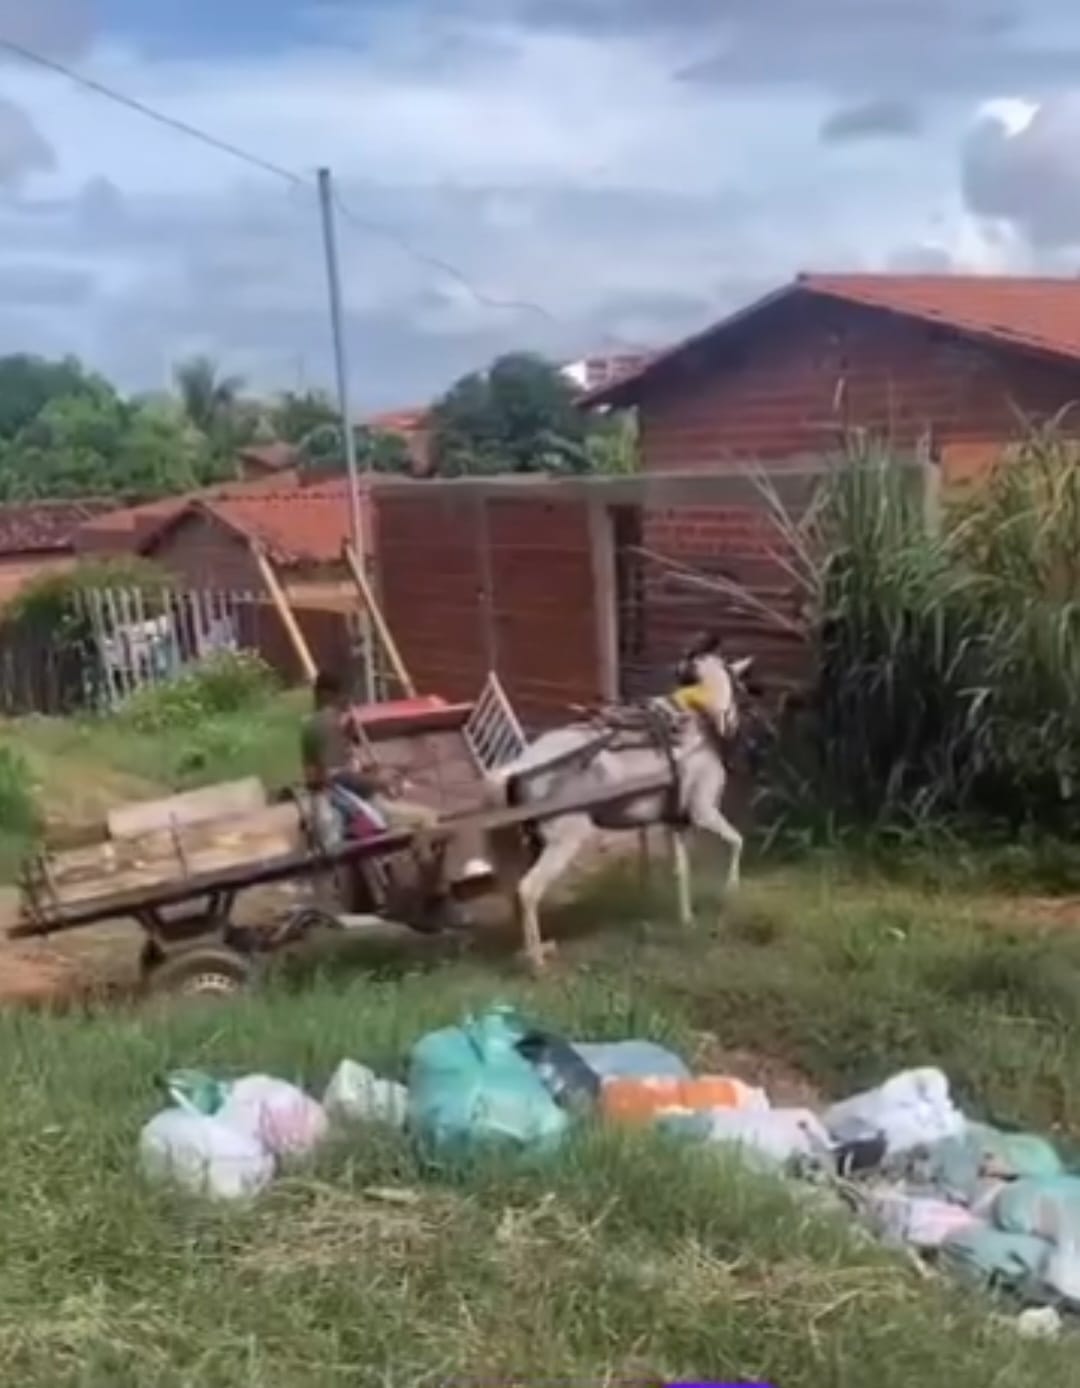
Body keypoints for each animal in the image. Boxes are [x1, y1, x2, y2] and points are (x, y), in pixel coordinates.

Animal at [485, 635, 749, 971]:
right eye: (740, 687)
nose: (732, 726)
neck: (697, 718)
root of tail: (519, 768)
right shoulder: (702, 812)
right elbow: (737, 841)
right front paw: (732, 889)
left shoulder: (676, 822)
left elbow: (681, 870)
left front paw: (686, 920)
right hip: (565, 839)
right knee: (528, 890)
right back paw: (537, 964)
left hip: (528, 844)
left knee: (514, 894)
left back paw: (533, 949)